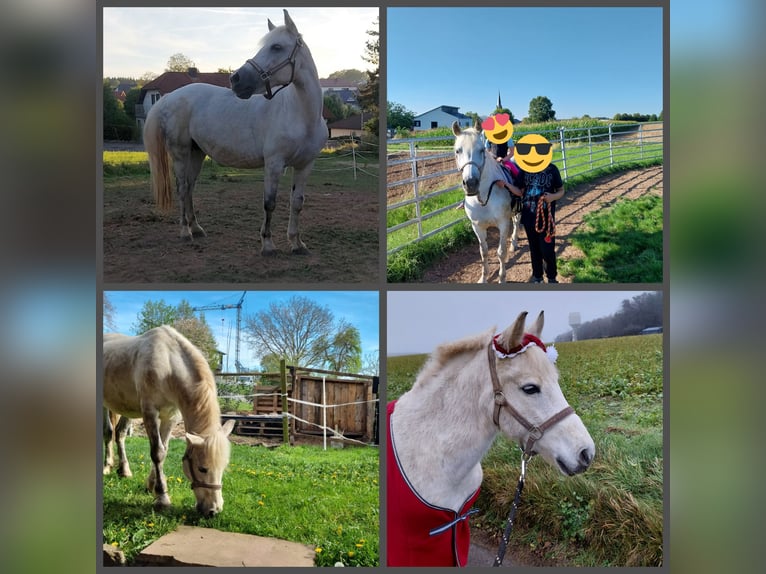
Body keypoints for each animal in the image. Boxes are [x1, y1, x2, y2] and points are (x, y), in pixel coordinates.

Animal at [103, 326, 236, 517]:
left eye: (223, 467)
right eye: (202, 468)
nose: (213, 510)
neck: (168, 365)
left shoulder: (171, 416)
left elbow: (164, 450)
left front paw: (151, 485)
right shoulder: (150, 413)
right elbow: (157, 453)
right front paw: (162, 498)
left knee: (120, 434)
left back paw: (124, 471)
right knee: (108, 433)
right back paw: (107, 467)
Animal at [144, 10, 327, 255]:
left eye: (277, 47)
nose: (236, 79)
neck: (301, 115)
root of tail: (167, 98)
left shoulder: (305, 165)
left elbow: (297, 202)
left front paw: (297, 243)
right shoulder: (274, 164)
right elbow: (269, 203)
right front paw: (268, 244)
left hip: (196, 153)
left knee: (190, 188)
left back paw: (197, 228)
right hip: (180, 153)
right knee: (182, 189)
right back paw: (185, 232)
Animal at [452, 120, 522, 283]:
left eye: (481, 150)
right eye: (458, 151)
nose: (470, 183)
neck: (482, 198)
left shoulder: (503, 224)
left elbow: (501, 252)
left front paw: (502, 278)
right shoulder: (477, 226)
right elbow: (483, 253)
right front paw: (483, 278)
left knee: (517, 222)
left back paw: (514, 243)